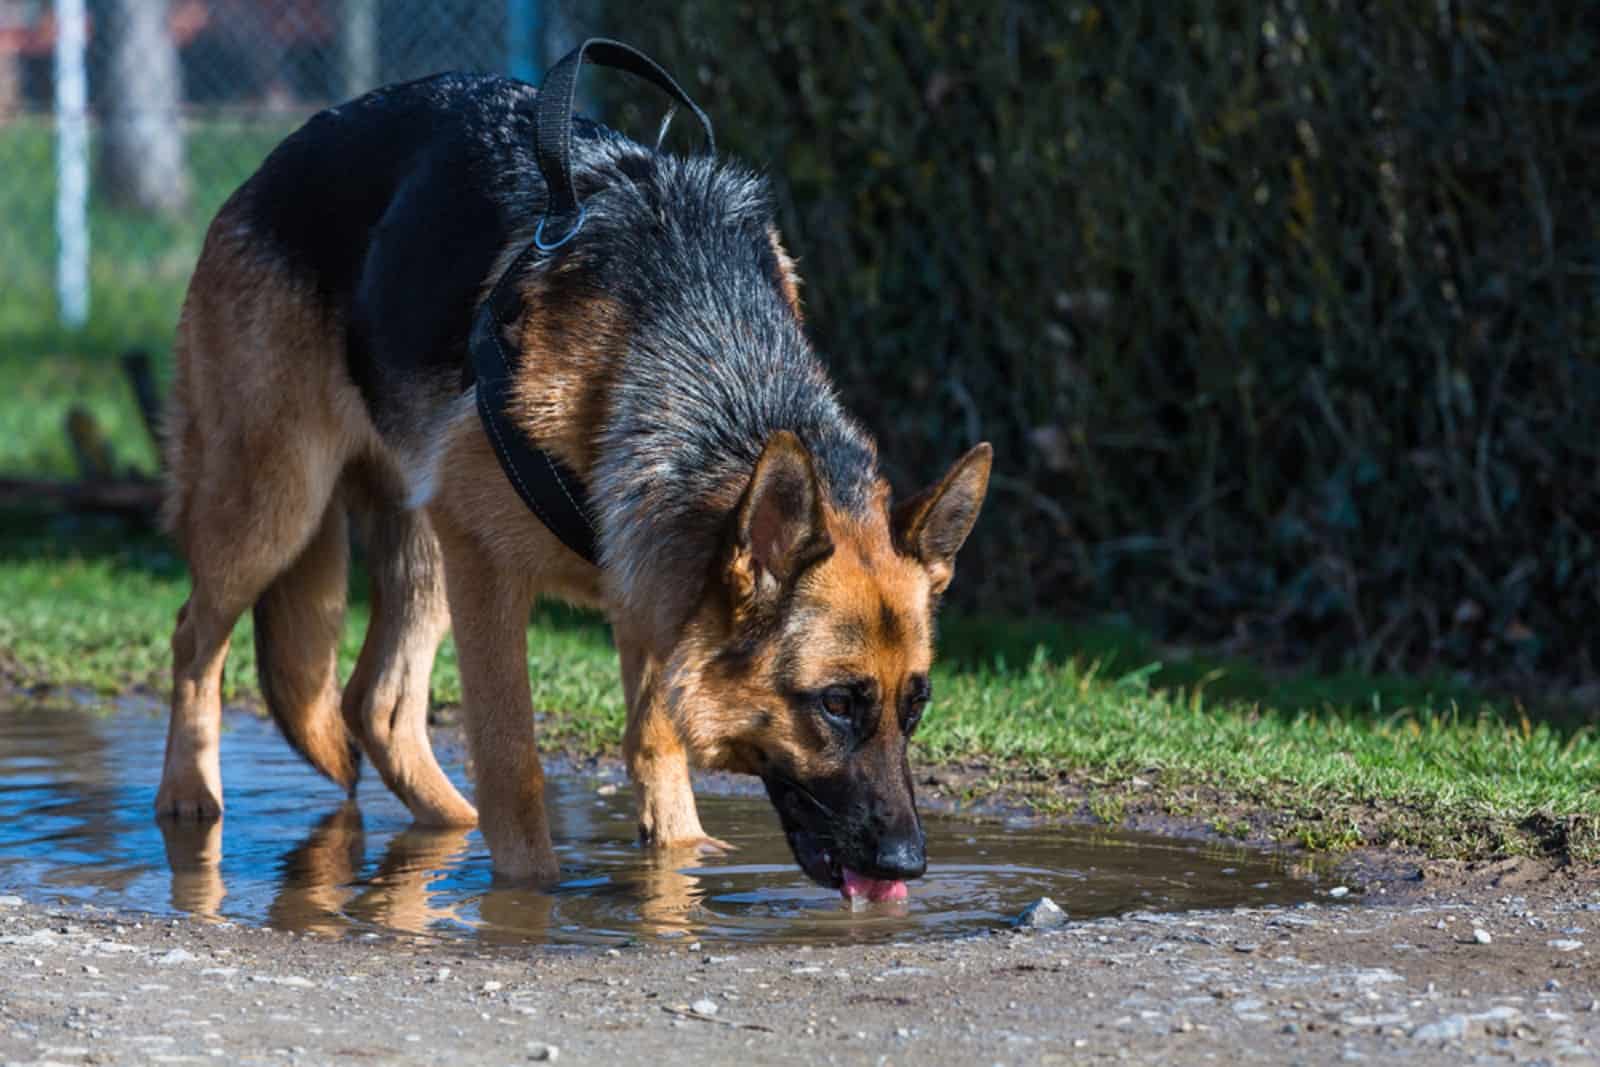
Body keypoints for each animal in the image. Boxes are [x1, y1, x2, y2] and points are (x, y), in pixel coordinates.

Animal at [159, 51, 985, 902]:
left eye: (914, 707)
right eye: (836, 703)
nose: (908, 863)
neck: (705, 347)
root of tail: (283, 157)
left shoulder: (651, 582)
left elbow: (655, 743)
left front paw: (676, 868)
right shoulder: (493, 569)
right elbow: (514, 764)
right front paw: (530, 898)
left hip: (422, 543)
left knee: (377, 704)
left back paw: (444, 832)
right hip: (275, 504)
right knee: (194, 636)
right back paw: (189, 798)